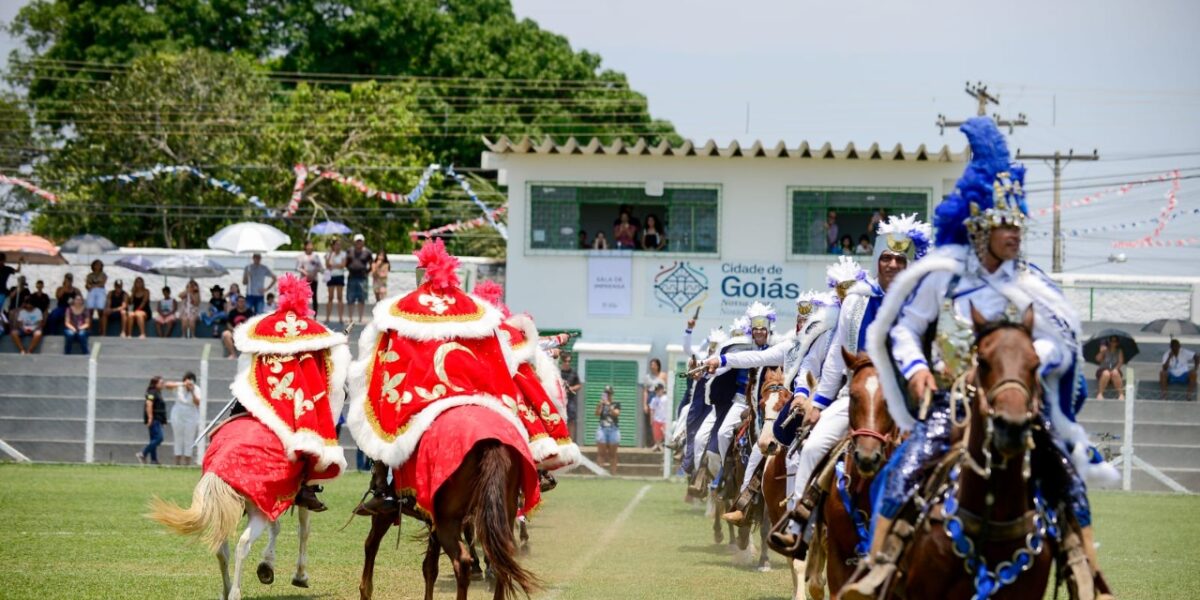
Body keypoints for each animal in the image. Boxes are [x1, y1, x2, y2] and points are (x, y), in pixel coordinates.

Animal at [149, 472, 314, 600]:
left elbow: (278, 527)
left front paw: (267, 565)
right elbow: (303, 530)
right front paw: (300, 576)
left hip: (226, 512)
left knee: (222, 552)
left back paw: (227, 589)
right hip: (254, 512)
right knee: (243, 543)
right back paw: (235, 592)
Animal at [355, 436, 540, 600]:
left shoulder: (387, 515)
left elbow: (371, 545)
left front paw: (365, 591)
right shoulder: (433, 523)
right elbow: (430, 567)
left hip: (448, 523)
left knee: (462, 562)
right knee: (502, 558)